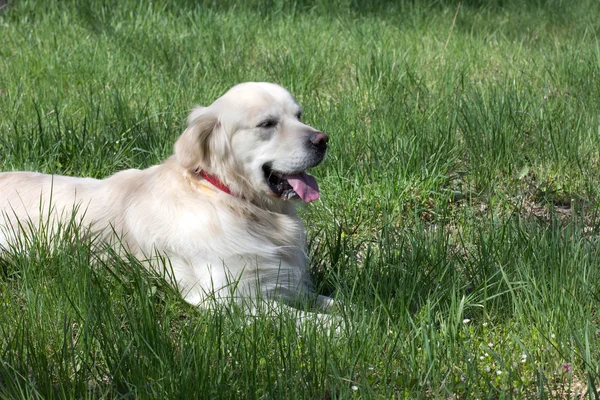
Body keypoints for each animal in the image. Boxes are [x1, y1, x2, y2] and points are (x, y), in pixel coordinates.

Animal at [0, 82, 336, 316]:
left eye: (299, 115)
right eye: (267, 124)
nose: (323, 140)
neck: (231, 200)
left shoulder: (285, 283)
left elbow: (335, 302)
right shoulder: (229, 299)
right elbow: (311, 321)